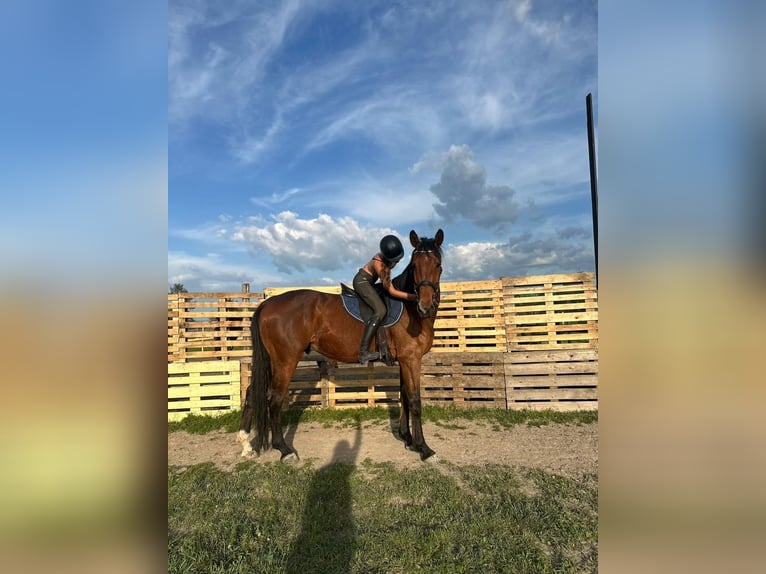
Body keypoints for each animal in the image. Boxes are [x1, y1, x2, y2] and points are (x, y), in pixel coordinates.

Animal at [238, 229, 444, 461]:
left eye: (438, 265)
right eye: (415, 266)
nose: (425, 306)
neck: (409, 309)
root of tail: (267, 304)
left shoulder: (404, 360)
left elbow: (405, 397)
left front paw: (407, 439)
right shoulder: (411, 359)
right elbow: (415, 400)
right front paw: (424, 448)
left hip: (272, 361)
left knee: (251, 393)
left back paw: (246, 445)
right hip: (285, 361)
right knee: (274, 399)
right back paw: (284, 449)